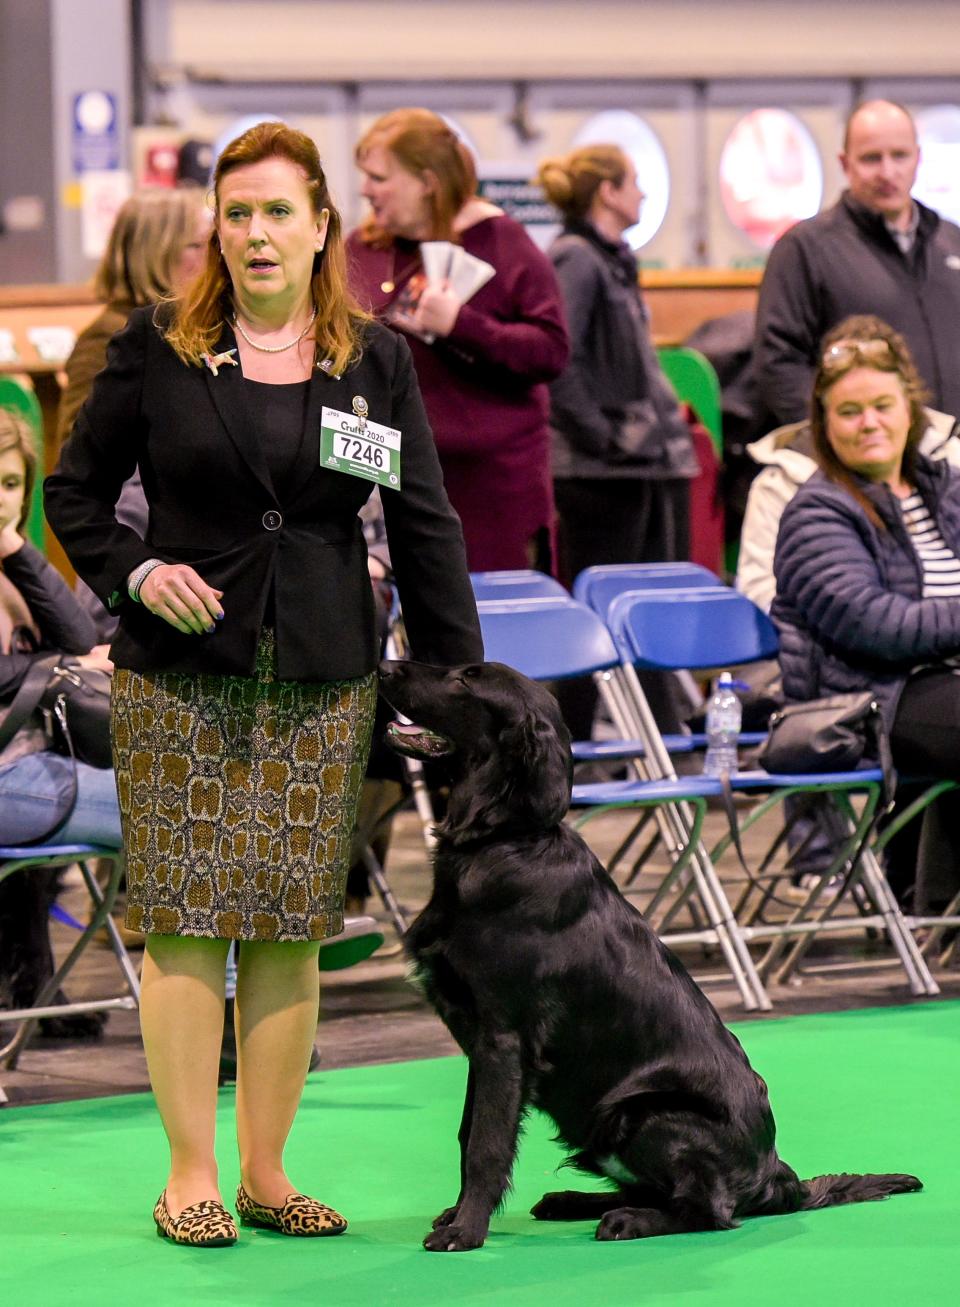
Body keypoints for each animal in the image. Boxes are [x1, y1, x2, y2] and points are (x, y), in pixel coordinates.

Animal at [376, 663, 924, 1254]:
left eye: (466, 680)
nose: (384, 668)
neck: (503, 841)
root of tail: (779, 1178)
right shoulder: (481, 1044)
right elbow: (467, 1132)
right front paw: (458, 1215)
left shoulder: (503, 1036)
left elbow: (486, 1143)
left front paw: (466, 1230)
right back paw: (571, 1201)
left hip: (645, 1114)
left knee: (708, 1210)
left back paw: (628, 1221)